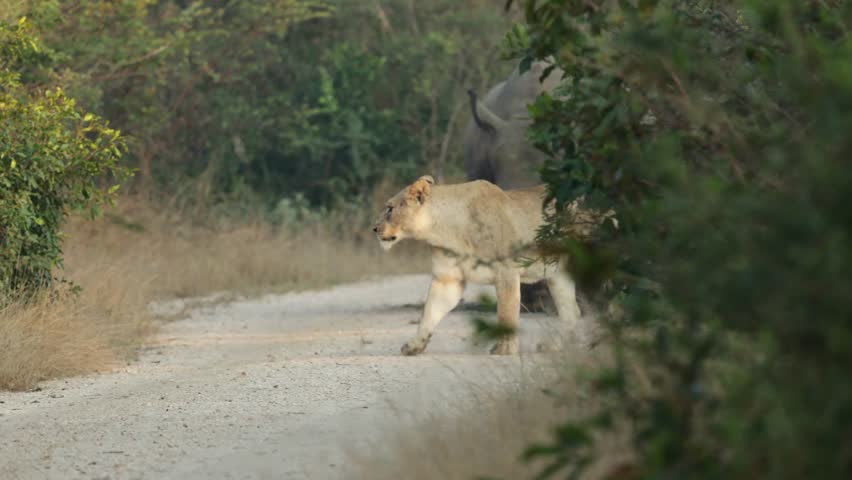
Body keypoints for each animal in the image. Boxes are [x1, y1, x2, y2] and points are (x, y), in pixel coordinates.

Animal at [373, 175, 597, 355]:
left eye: (390, 209)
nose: (374, 228)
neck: (445, 230)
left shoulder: (506, 271)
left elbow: (506, 314)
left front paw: (504, 350)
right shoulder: (448, 280)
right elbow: (429, 313)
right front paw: (414, 346)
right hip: (559, 274)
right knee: (571, 312)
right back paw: (554, 347)